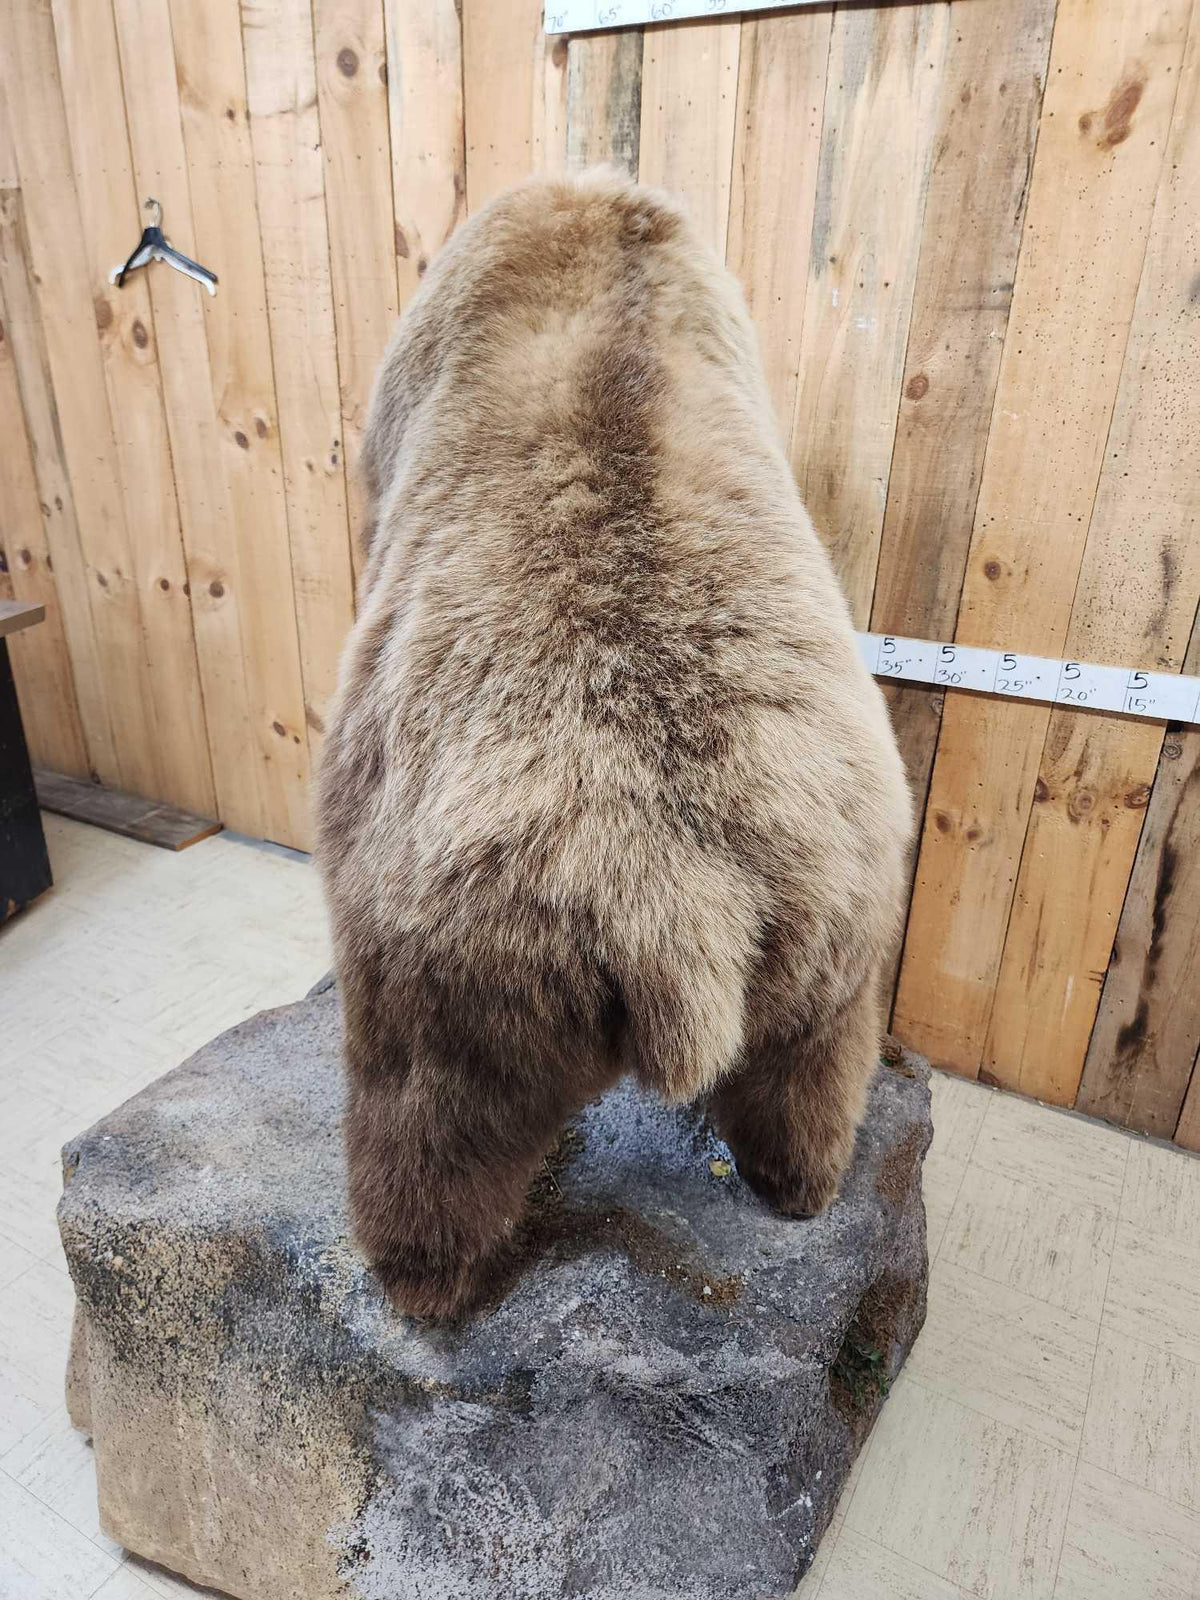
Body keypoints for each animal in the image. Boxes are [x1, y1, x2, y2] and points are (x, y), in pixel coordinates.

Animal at [316, 168, 912, 1320]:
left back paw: (413, 1273)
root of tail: (674, 895)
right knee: (811, 1064)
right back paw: (800, 1181)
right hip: (835, 902)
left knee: (425, 1116)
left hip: (457, 951)